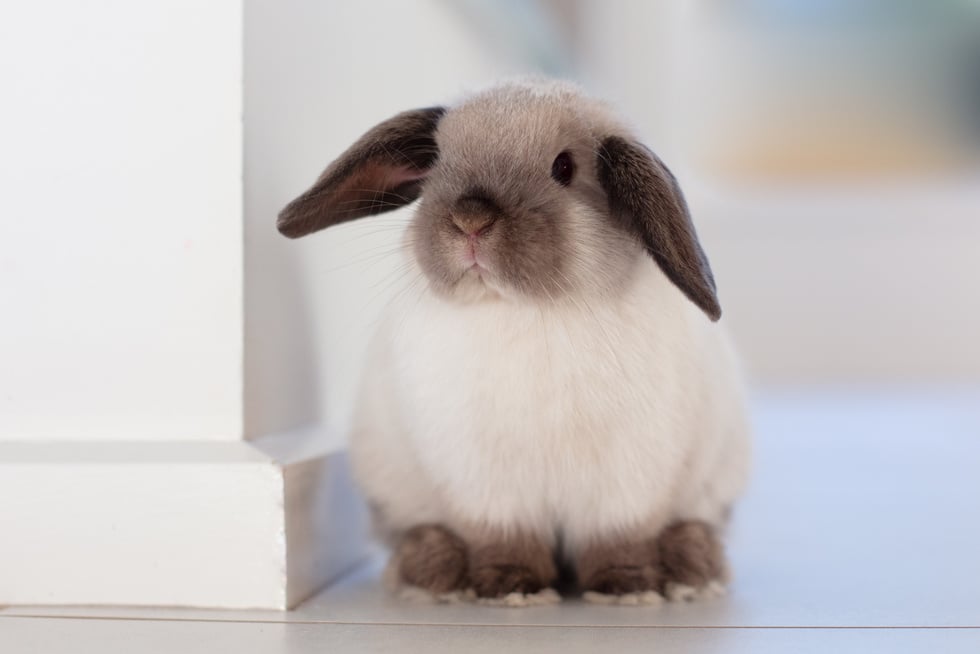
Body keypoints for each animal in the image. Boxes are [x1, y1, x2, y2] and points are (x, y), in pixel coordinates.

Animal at [276, 79, 752, 608]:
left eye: (564, 167)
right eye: (437, 161)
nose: (470, 219)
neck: (525, 309)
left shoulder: (627, 478)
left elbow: (618, 536)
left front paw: (628, 587)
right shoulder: (486, 483)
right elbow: (505, 536)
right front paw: (510, 587)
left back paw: (694, 568)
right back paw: (430, 571)